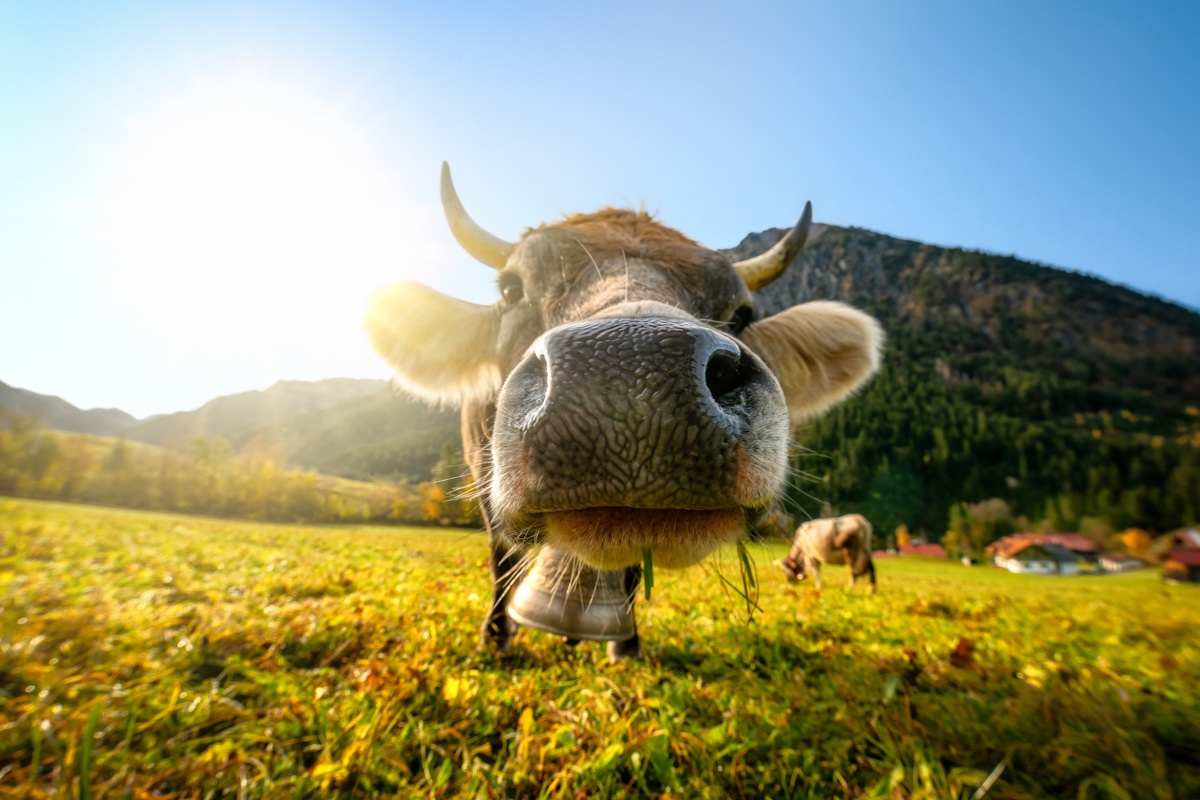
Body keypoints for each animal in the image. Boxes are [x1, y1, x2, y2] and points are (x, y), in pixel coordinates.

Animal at [366, 163, 883, 661]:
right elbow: (502, 556)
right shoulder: (481, 472)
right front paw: (495, 638)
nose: (632, 376)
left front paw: (624, 643)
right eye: (512, 289)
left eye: (741, 314)